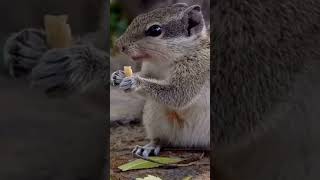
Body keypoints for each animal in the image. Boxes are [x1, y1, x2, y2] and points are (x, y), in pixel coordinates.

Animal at [112, 3, 210, 158]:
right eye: (139, 16)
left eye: (155, 30)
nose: (119, 45)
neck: (165, 61)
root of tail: (190, 143)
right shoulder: (150, 70)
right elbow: (146, 75)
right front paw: (117, 75)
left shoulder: (198, 67)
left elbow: (178, 93)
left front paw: (134, 82)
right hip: (153, 114)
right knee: (163, 139)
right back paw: (150, 146)